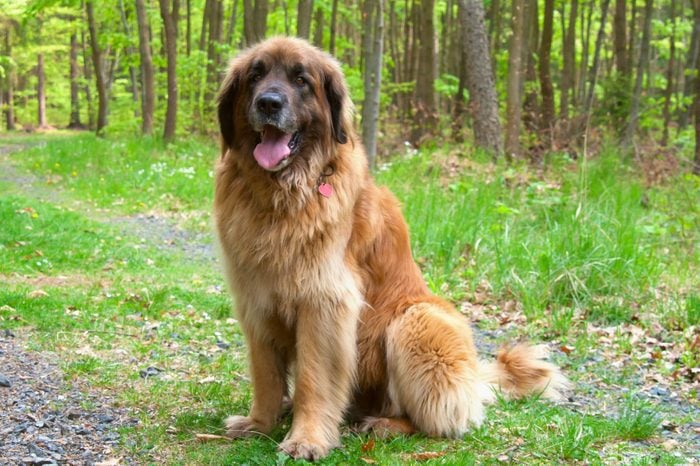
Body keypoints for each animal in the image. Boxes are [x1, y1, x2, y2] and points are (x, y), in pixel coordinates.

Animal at [215, 38, 568, 460]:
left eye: (301, 79)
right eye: (256, 75)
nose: (269, 103)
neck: (279, 197)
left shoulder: (324, 302)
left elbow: (314, 379)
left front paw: (308, 438)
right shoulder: (256, 300)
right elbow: (266, 374)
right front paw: (259, 423)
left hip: (416, 322)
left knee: (438, 419)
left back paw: (385, 424)